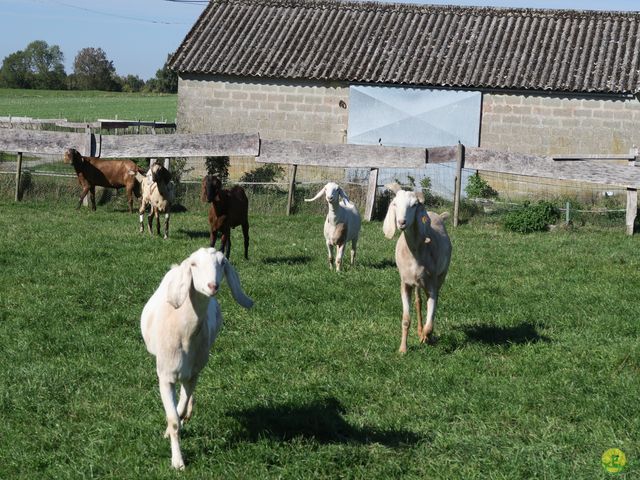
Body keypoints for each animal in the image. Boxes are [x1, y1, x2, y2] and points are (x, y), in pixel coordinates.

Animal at [141, 248, 254, 468]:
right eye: (193, 264)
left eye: (222, 262)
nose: (212, 286)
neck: (184, 334)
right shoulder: (165, 376)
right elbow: (173, 420)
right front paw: (177, 462)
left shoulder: (193, 373)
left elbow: (180, 408)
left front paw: (181, 419)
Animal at [382, 184, 452, 352]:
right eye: (395, 204)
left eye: (414, 205)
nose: (401, 222)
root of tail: (437, 215)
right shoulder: (405, 283)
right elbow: (406, 319)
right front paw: (402, 349)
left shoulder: (432, 283)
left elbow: (431, 321)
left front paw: (425, 337)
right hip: (417, 284)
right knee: (419, 302)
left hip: (441, 275)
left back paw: (424, 334)